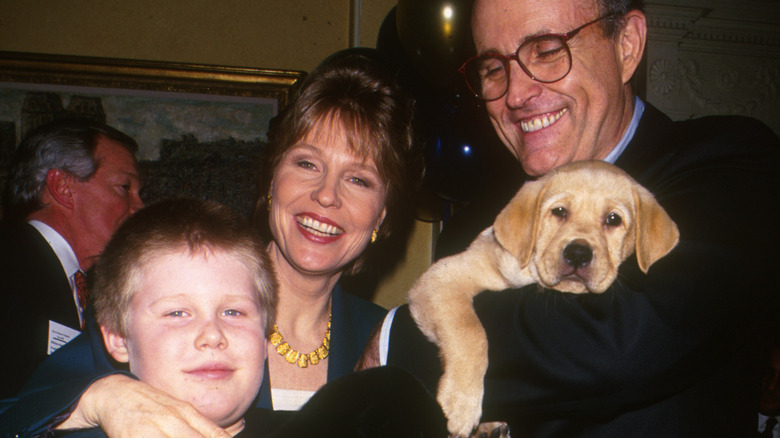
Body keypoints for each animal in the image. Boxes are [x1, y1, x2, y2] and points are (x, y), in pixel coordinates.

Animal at [412, 161, 680, 438]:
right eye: (559, 212)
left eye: (613, 219)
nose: (578, 254)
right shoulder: (442, 277)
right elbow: (470, 330)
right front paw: (461, 402)